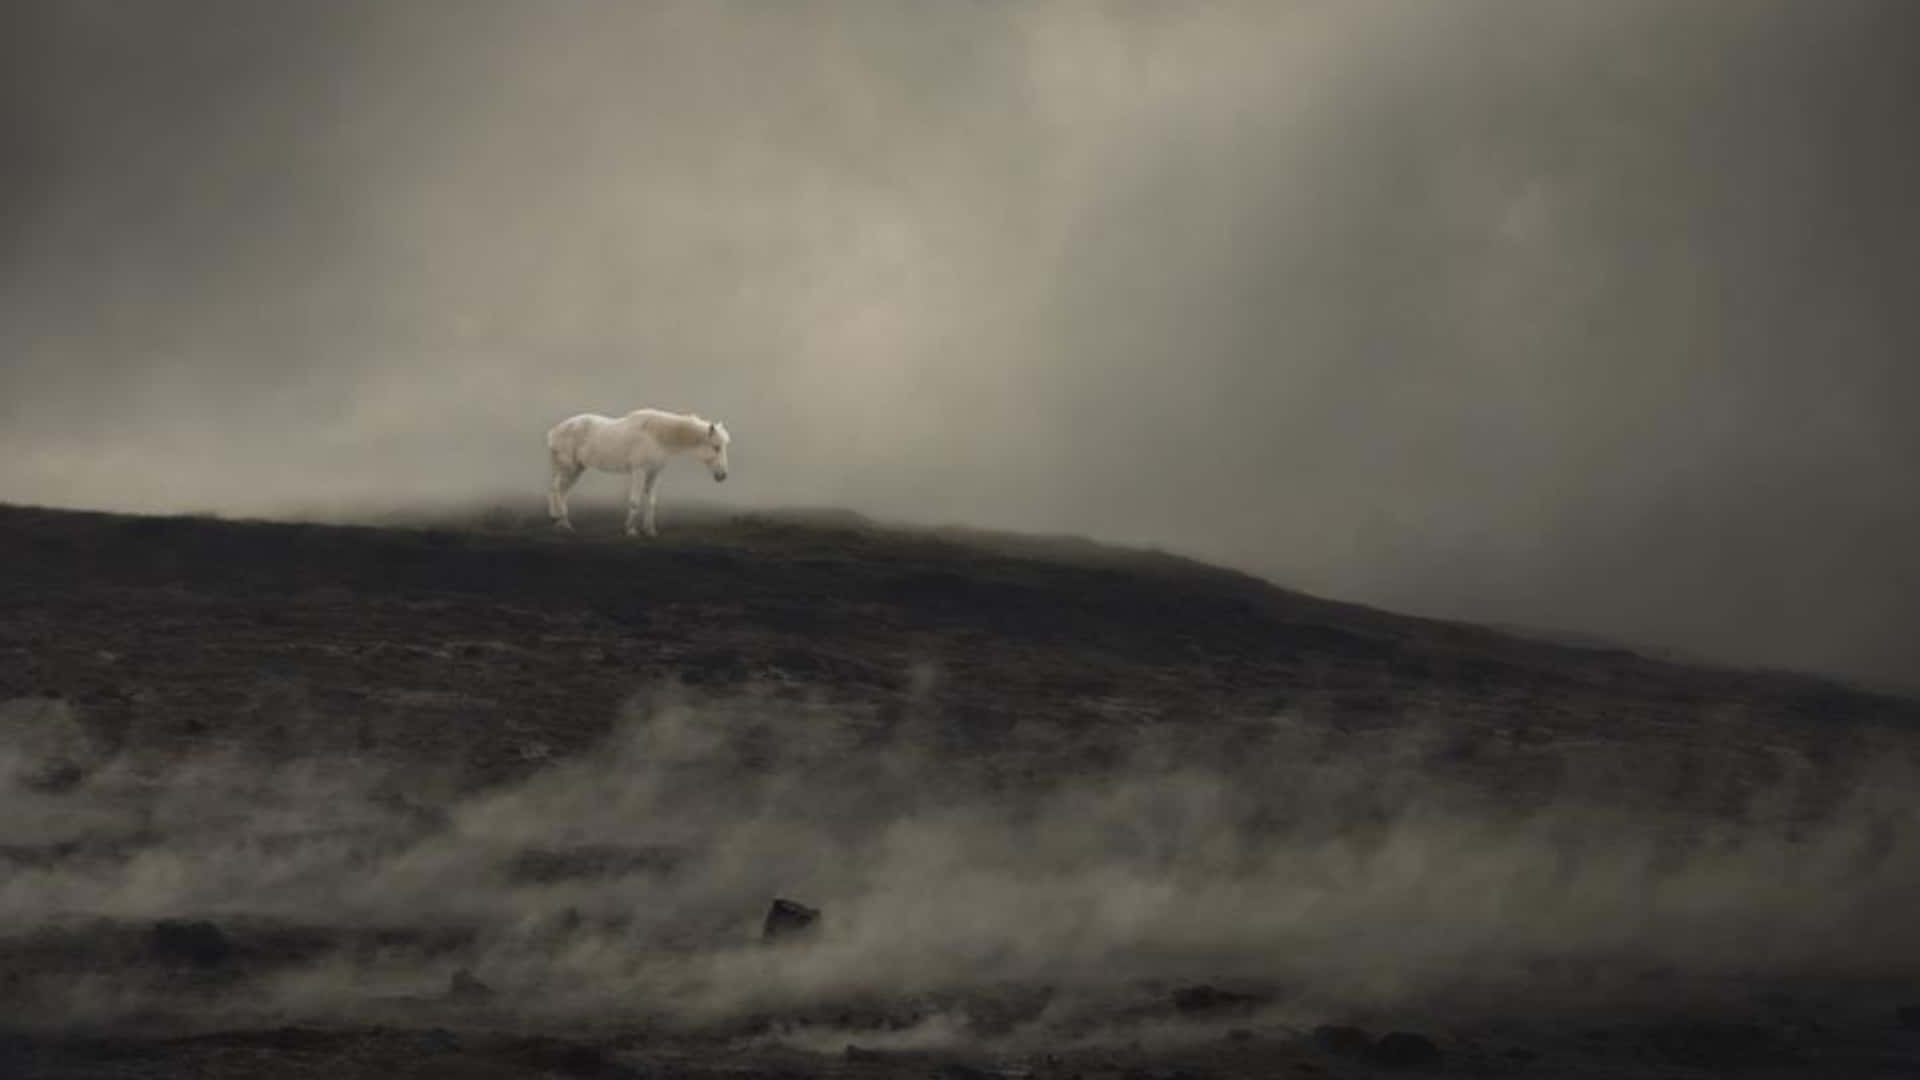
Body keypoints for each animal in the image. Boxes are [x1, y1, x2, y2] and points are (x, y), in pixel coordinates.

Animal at [545, 409, 731, 537]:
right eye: (716, 447)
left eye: (723, 446)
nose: (722, 475)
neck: (656, 436)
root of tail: (555, 432)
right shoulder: (639, 471)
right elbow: (634, 501)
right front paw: (630, 530)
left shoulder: (655, 473)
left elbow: (651, 502)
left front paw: (650, 530)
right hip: (569, 467)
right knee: (557, 489)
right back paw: (565, 523)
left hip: (576, 468)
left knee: (560, 491)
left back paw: (557, 520)